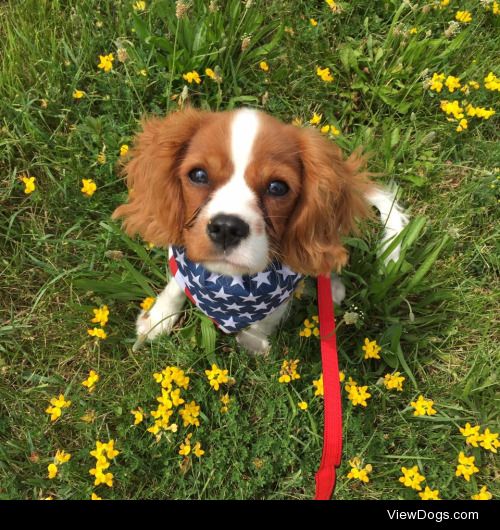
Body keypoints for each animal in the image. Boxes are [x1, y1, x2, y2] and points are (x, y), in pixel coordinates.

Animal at [112, 108, 406, 350]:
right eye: (198, 175)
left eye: (277, 187)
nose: (227, 228)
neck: (228, 283)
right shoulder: (182, 259)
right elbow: (176, 284)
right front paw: (158, 318)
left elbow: (268, 318)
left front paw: (253, 343)